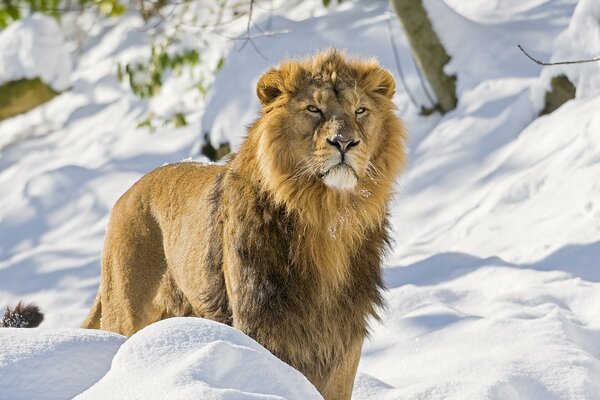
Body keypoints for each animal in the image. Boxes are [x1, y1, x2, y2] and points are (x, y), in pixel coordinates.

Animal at [81, 50, 408, 400]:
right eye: (313, 109)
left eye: (360, 110)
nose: (344, 142)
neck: (326, 217)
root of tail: (126, 194)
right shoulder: (261, 319)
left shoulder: (344, 333)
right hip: (125, 312)